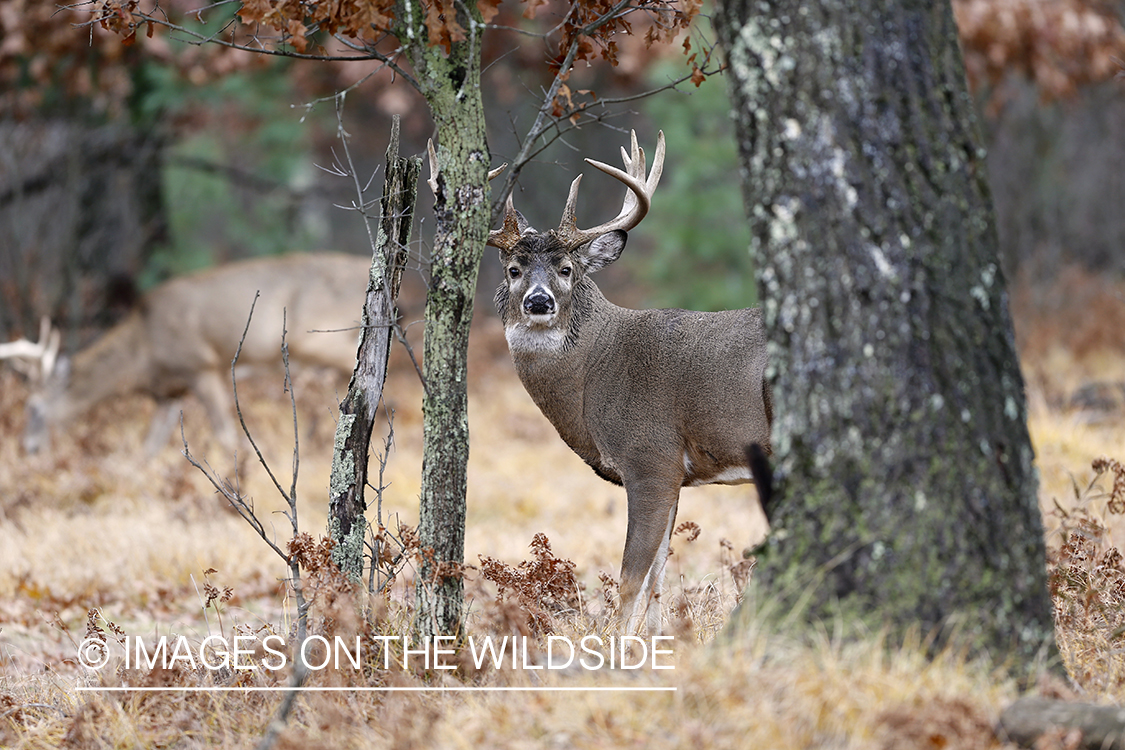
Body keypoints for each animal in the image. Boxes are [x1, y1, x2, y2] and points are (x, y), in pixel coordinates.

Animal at [0, 251, 373, 454]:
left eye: (33, 408)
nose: (28, 448)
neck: (144, 349)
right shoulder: (170, 393)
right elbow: (148, 449)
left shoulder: (202, 366)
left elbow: (226, 435)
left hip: (323, 340)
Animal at [483, 130, 774, 634]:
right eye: (512, 270)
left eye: (566, 269)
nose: (538, 302)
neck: (596, 371)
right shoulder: (676, 472)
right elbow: (658, 570)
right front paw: (658, 637)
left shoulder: (649, 456)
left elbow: (630, 577)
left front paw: (616, 643)